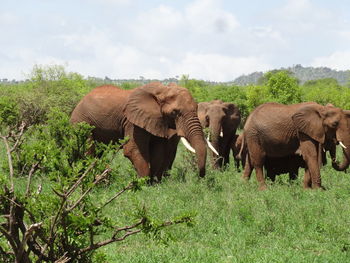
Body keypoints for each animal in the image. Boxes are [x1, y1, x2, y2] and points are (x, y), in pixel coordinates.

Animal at [71, 82, 208, 184]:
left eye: (197, 108)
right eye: (175, 112)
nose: (199, 178)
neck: (161, 90)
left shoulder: (157, 120)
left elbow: (158, 151)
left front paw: (153, 184)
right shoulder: (132, 121)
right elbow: (133, 149)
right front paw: (142, 184)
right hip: (81, 122)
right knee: (87, 150)